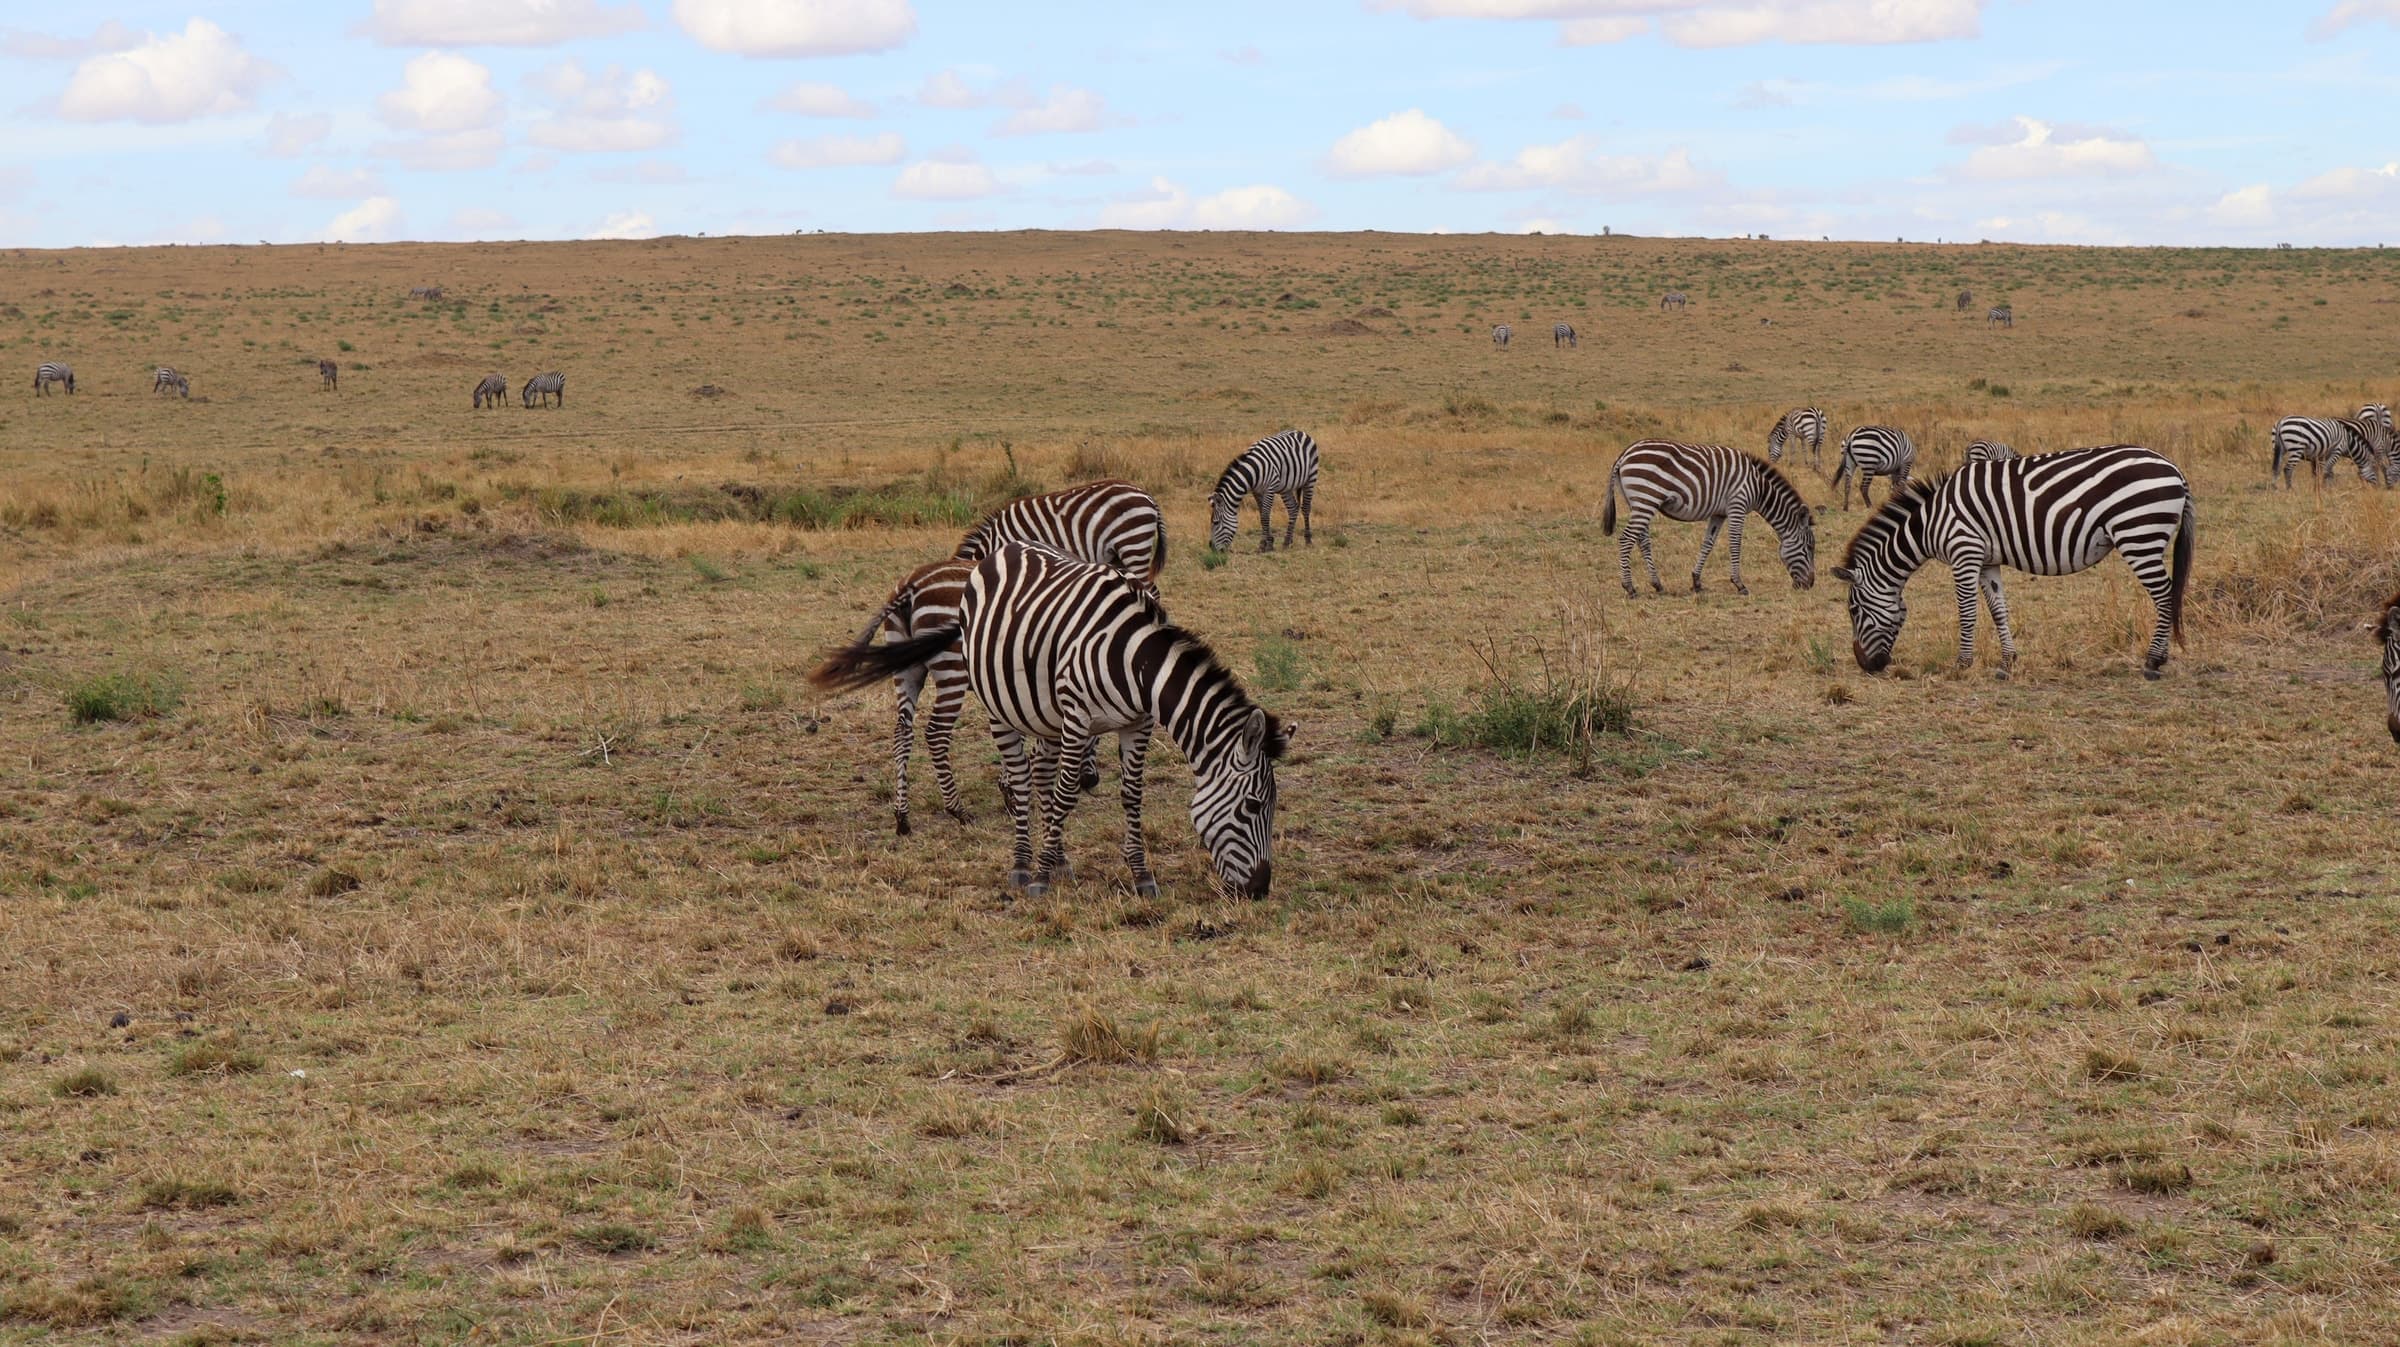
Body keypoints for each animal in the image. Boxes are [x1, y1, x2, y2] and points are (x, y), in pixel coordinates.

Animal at [811, 543, 1293, 900]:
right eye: (1253, 806)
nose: (1260, 889)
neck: (1137, 663)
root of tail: (1003, 552)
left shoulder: (1137, 724)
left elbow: (1130, 797)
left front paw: (1140, 874)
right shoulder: (1078, 717)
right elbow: (1063, 795)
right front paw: (1041, 874)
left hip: (990, 694)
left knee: (918, 735)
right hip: (986, 693)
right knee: (1007, 769)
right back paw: (1020, 860)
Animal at [1602, 441, 1816, 598]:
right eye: (1809, 548)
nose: (1810, 584)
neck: (1758, 487)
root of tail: (1624, 454)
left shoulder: (1719, 513)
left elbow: (1708, 543)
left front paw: (1696, 581)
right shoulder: (1737, 505)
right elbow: (1735, 544)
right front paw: (1739, 584)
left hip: (1639, 503)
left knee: (1643, 540)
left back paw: (1657, 584)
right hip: (1647, 499)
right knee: (1626, 539)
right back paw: (1629, 587)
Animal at [1828, 445, 2195, 680]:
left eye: (1854, 611)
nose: (1865, 666)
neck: (1930, 521)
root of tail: (2174, 468)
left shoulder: (1964, 552)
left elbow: (1967, 611)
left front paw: (1962, 664)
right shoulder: (1987, 561)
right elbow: (1998, 609)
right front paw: (2008, 662)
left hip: (2138, 534)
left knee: (2165, 595)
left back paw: (2154, 661)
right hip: (2143, 534)